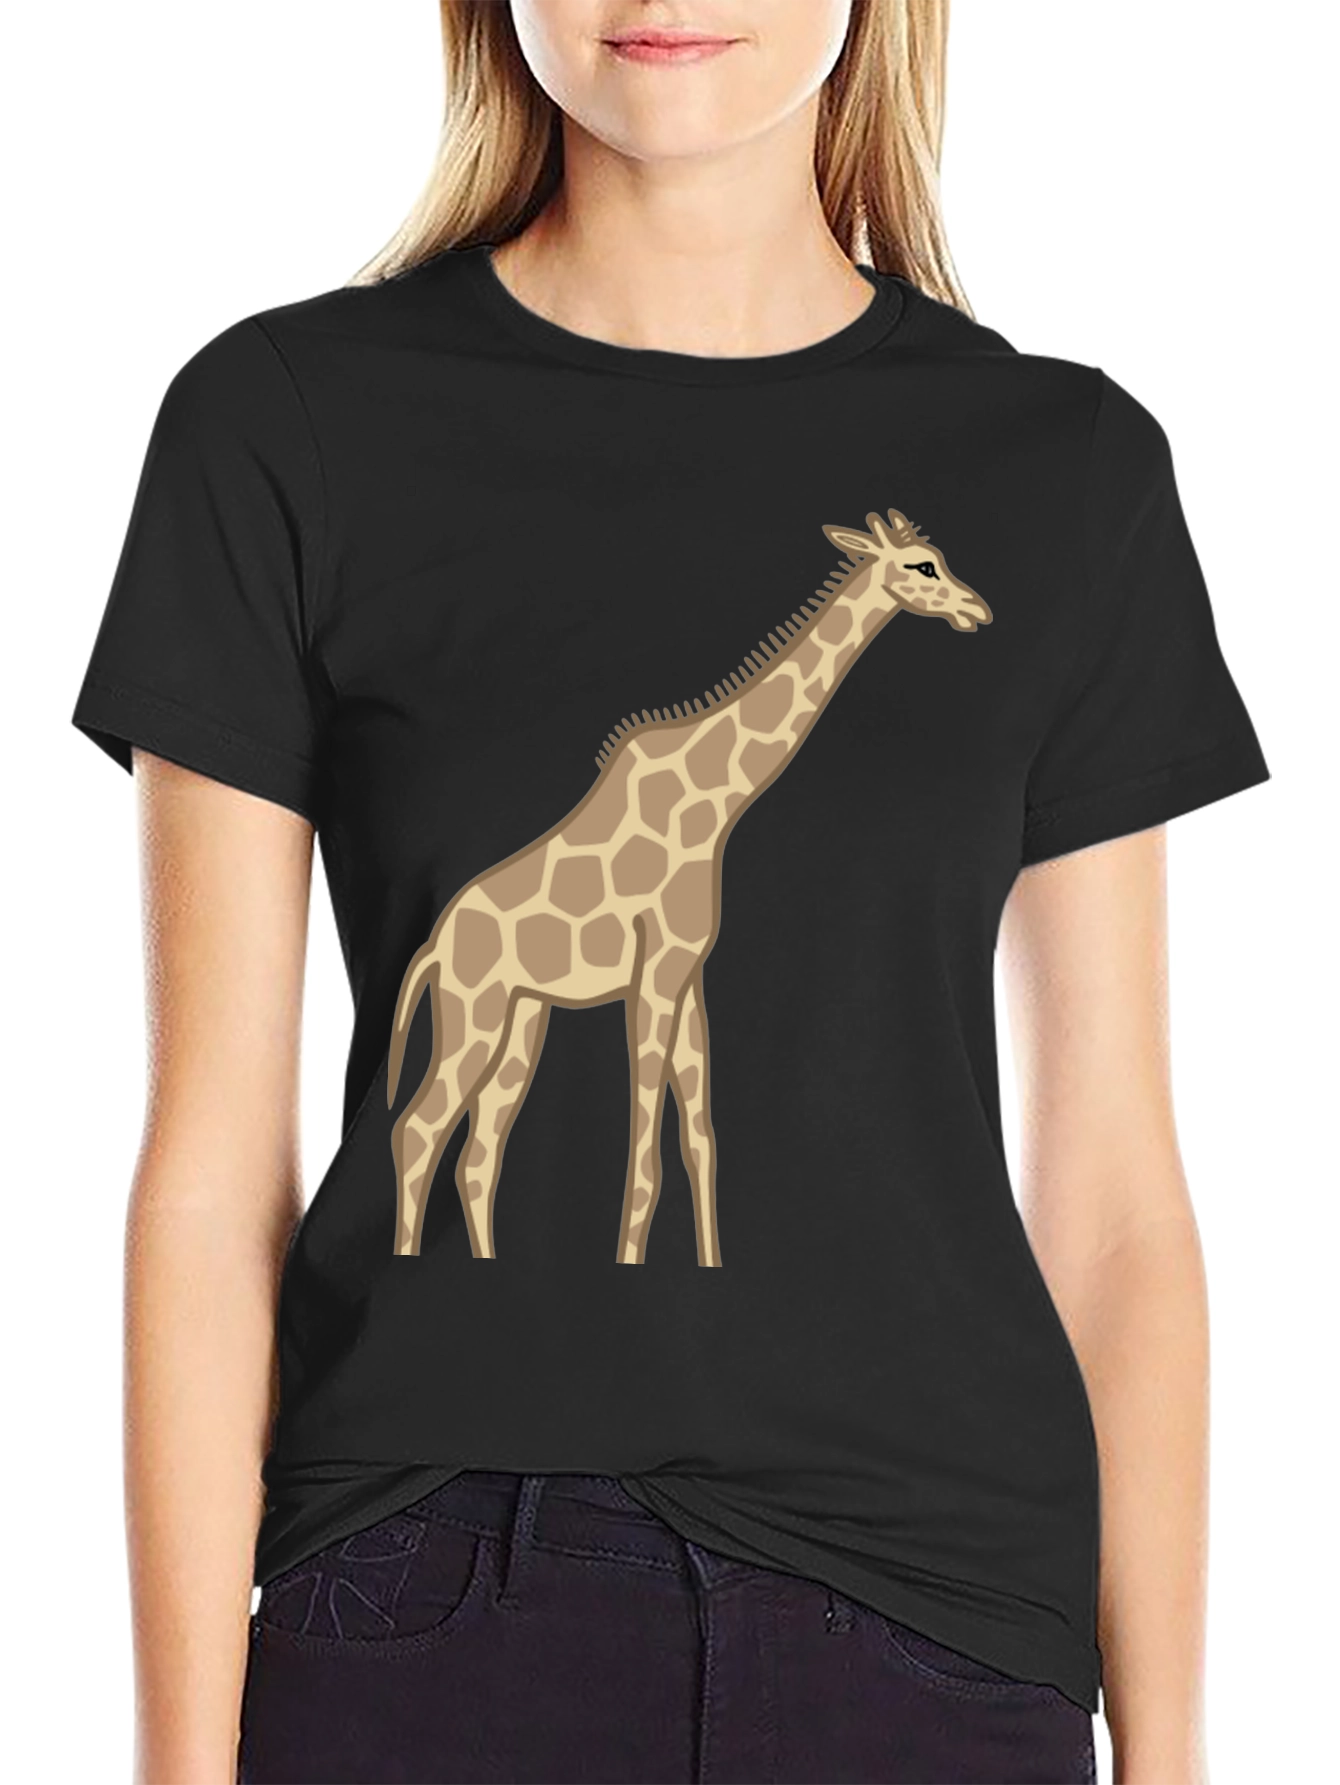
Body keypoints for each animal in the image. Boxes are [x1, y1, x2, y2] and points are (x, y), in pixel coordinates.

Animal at [387, 509, 991, 1265]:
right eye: (922, 566)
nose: (978, 610)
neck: (717, 804)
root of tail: (435, 947)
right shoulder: (653, 973)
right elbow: (644, 1157)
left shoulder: (689, 972)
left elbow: (700, 1142)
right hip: (475, 1009)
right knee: (417, 1130)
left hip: (522, 1019)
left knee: (477, 1151)